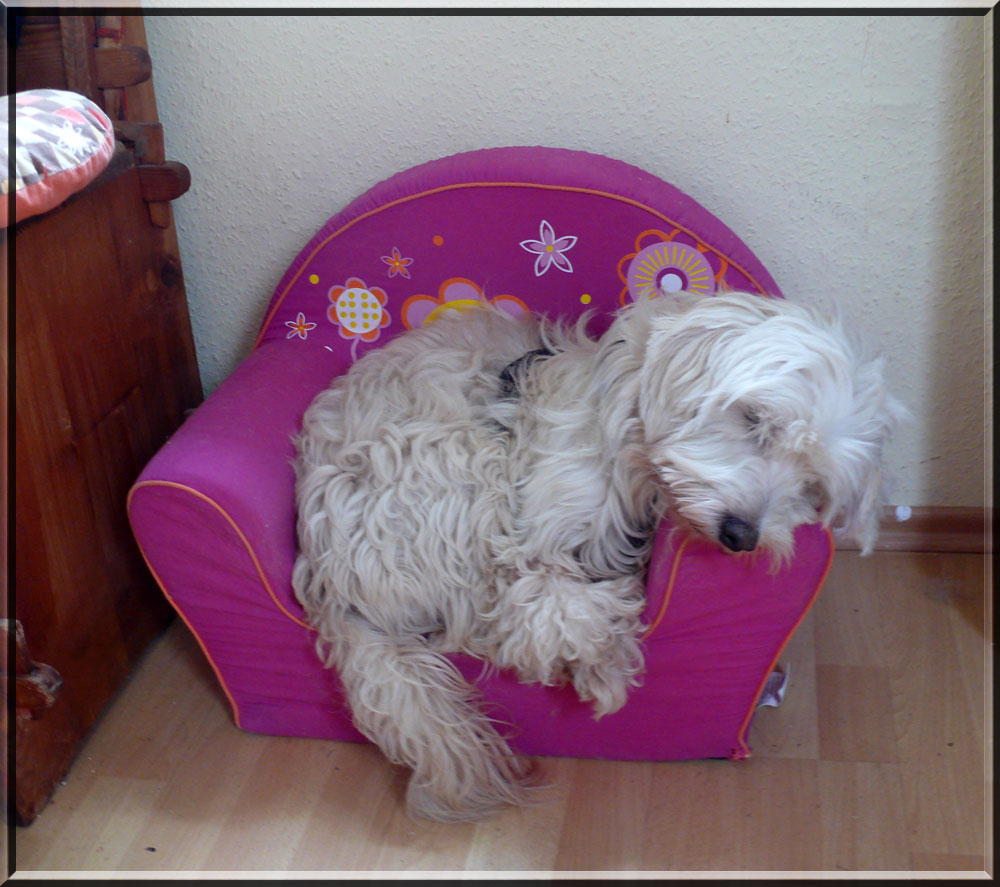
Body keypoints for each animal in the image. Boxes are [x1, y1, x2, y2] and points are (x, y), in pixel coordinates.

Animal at [292, 290, 905, 821]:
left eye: (812, 484)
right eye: (754, 420)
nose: (740, 534)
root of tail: (334, 592)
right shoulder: (534, 528)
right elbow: (536, 598)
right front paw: (602, 657)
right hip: (458, 464)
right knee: (493, 626)